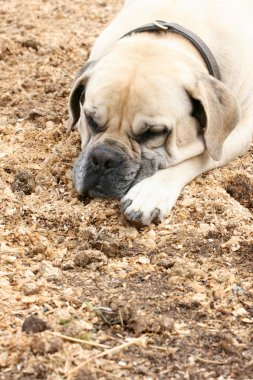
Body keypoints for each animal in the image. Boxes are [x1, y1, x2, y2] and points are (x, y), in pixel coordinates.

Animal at [68, 0, 253, 224]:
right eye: (90, 120)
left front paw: (151, 191)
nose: (103, 158)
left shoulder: (240, 131)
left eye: (154, 132)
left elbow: (202, 155)